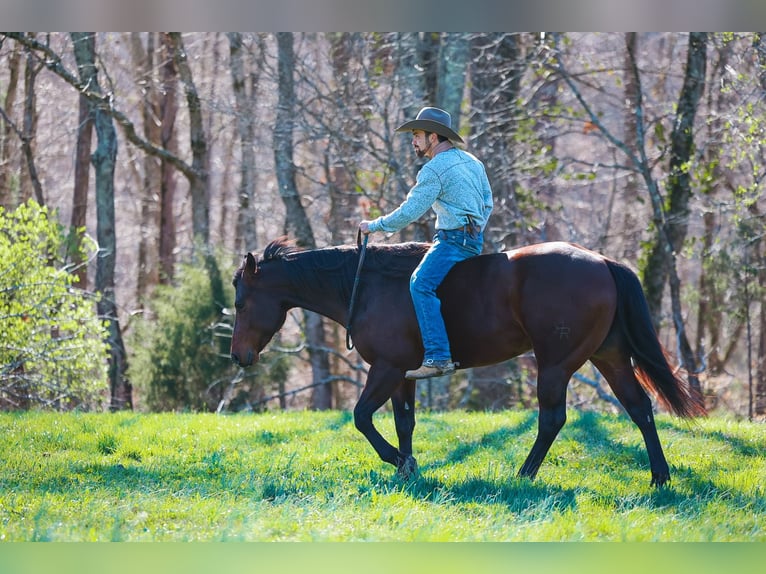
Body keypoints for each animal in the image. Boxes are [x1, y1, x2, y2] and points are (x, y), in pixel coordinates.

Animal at [230, 237, 706, 487]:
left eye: (240, 302)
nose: (238, 356)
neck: (365, 286)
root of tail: (603, 261)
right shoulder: (402, 375)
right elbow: (404, 422)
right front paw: (408, 468)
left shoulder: (384, 369)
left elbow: (362, 417)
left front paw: (397, 461)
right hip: (609, 357)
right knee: (640, 408)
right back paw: (659, 477)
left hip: (555, 365)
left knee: (552, 418)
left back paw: (523, 475)